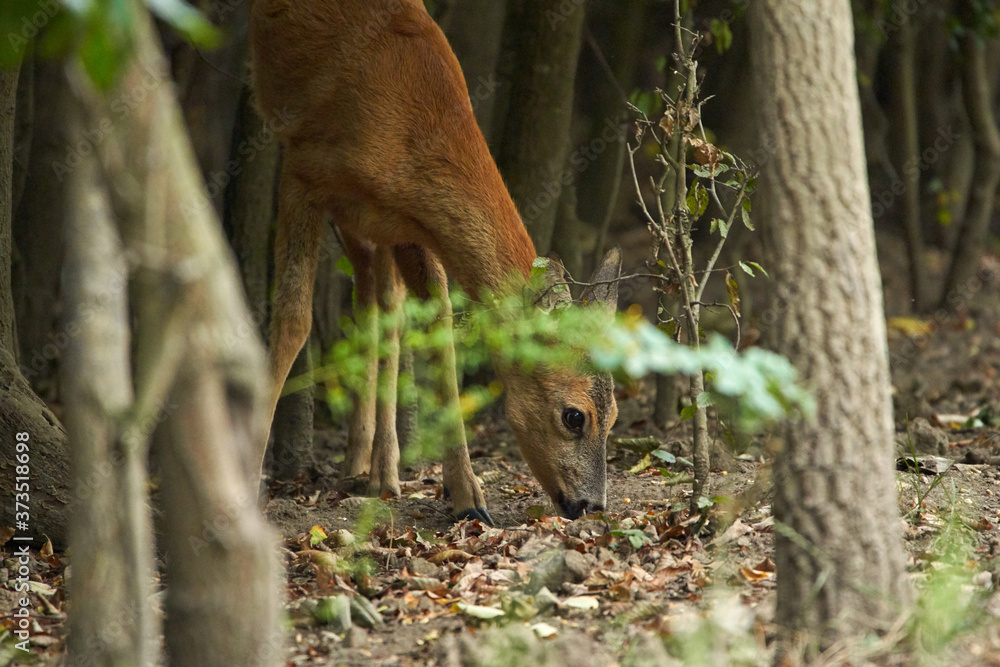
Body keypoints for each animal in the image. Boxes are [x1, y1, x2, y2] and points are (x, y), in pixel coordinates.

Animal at [249, 0, 621, 524]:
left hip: (371, 225)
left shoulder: (411, 223)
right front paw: (243, 477)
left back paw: (373, 468)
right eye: (574, 416)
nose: (591, 505)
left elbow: (439, 323)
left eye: (615, 417)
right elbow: (292, 320)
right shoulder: (303, 168)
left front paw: (468, 495)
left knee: (379, 303)